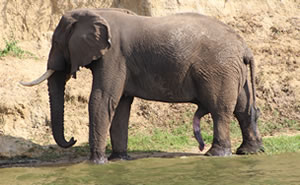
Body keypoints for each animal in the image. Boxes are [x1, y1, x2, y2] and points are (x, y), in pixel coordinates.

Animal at [21, 7, 264, 164]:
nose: (72, 139)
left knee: (220, 109)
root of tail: (245, 48)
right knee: (243, 109)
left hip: (219, 70)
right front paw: (119, 160)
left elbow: (102, 99)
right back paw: (249, 152)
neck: (96, 12)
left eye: (56, 43)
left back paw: (217, 155)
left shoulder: (114, 56)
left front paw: (96, 163)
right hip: (235, 71)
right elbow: (120, 105)